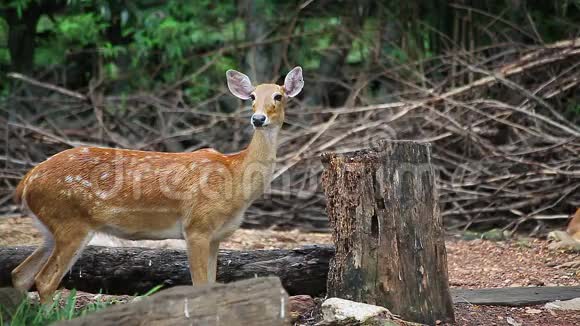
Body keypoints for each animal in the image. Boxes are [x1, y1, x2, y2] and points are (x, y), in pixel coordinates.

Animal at [11, 66, 306, 304]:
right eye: (252, 97)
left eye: (278, 96)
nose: (258, 119)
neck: (235, 177)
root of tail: (26, 181)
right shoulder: (196, 226)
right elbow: (199, 285)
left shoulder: (216, 236)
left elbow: (211, 285)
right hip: (71, 222)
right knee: (45, 280)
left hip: (51, 228)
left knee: (19, 275)